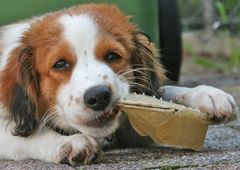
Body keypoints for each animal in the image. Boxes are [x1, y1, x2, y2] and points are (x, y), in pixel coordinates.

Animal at [0, 3, 237, 166]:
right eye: (60, 64)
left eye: (112, 55)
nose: (98, 96)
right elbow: (28, 135)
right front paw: (68, 143)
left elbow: (160, 95)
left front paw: (206, 95)